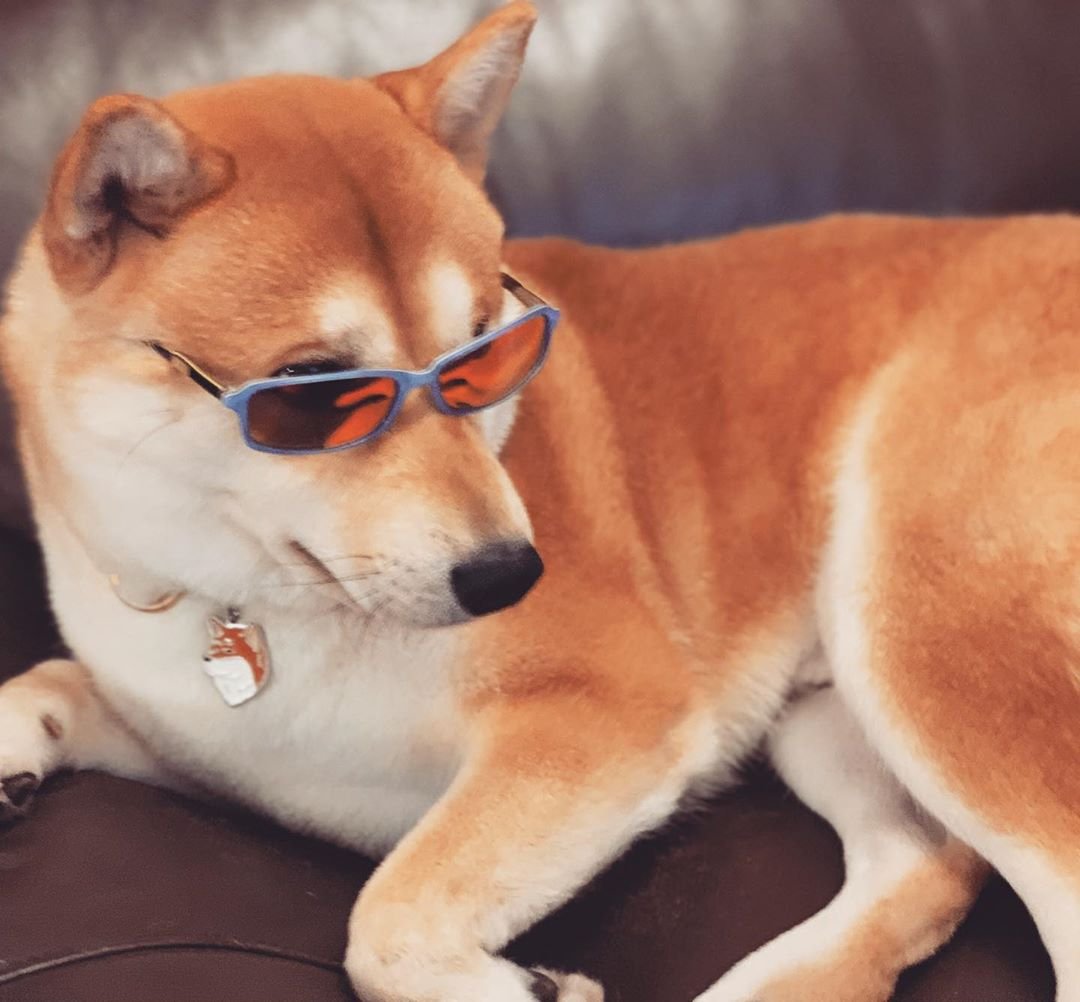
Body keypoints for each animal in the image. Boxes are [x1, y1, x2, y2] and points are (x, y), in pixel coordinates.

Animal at [2, 0, 1080, 997]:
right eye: (313, 392)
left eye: (485, 348)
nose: (509, 575)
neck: (253, 600)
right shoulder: (201, 741)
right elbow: (53, 679)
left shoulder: (610, 714)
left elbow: (385, 917)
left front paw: (519, 986)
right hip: (824, 713)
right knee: (925, 865)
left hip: (917, 618)